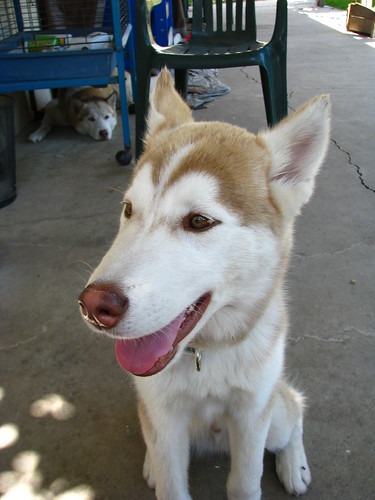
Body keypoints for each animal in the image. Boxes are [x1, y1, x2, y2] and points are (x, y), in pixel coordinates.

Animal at [78, 68, 330, 498]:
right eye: (128, 210)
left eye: (198, 221)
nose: (95, 305)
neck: (205, 355)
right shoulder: (163, 418)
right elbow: (171, 484)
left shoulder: (251, 416)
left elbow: (245, 484)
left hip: (274, 417)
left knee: (295, 408)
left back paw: (293, 463)